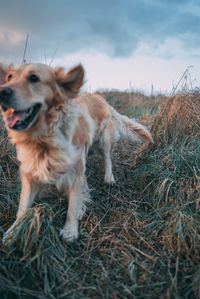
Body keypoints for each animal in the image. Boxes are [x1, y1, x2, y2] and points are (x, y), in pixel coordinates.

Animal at [0, 62, 153, 243]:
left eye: (33, 78)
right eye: (9, 77)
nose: (2, 92)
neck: (44, 139)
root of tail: (101, 98)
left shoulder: (76, 174)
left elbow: (73, 206)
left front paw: (70, 230)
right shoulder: (30, 174)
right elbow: (22, 208)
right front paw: (12, 233)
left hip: (105, 139)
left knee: (108, 158)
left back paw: (109, 177)